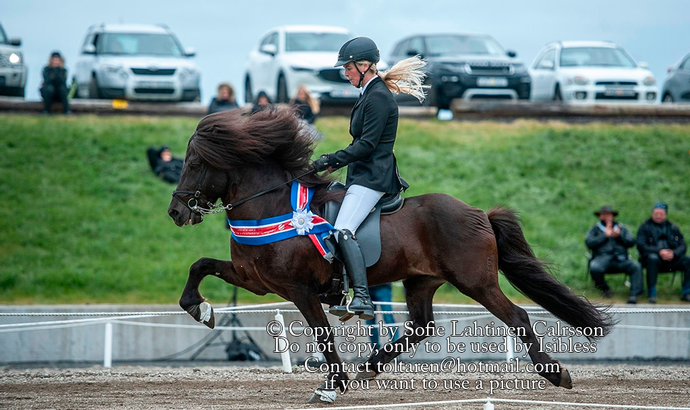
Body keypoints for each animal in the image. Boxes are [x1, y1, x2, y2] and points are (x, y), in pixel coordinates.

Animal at [167, 107, 612, 402]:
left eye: (194, 163)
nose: (175, 212)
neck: (268, 205)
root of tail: (478, 212)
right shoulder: (255, 280)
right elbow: (199, 266)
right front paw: (201, 310)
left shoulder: (299, 289)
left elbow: (322, 333)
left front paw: (332, 387)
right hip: (421, 281)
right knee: (421, 326)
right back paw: (369, 367)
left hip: (476, 281)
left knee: (516, 317)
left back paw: (556, 375)